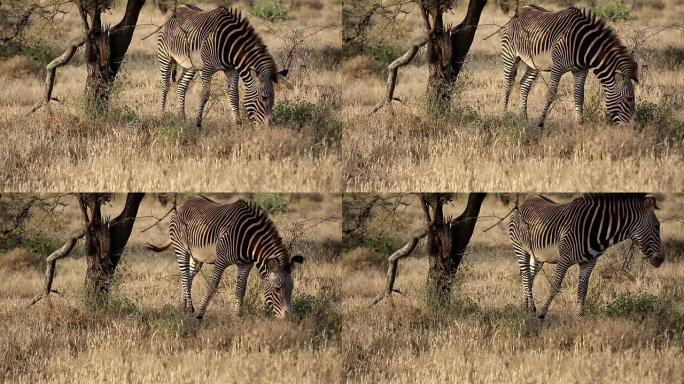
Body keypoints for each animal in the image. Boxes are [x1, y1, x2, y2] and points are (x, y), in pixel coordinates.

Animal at [147, 196, 304, 320]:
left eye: (292, 289)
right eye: (277, 289)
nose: (287, 318)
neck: (249, 240)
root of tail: (182, 203)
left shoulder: (245, 264)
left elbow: (241, 289)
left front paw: (237, 317)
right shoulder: (221, 260)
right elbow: (212, 286)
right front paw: (200, 315)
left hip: (196, 257)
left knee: (188, 278)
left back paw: (184, 307)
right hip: (181, 249)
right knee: (185, 277)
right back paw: (190, 310)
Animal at [157, 4, 288, 127]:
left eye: (273, 98)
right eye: (264, 98)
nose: (269, 127)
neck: (230, 47)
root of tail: (177, 7)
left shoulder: (232, 70)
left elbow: (234, 95)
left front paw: (237, 123)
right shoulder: (207, 68)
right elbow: (204, 95)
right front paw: (198, 123)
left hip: (190, 64)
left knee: (181, 85)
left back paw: (182, 119)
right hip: (165, 57)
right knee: (165, 86)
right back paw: (162, 115)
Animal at [500, 4, 640, 127]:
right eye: (629, 99)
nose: (632, 128)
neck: (583, 46)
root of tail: (520, 10)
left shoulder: (581, 70)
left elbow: (579, 96)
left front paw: (580, 124)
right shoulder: (557, 67)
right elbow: (550, 94)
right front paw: (540, 123)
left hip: (534, 63)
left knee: (524, 84)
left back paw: (524, 118)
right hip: (510, 56)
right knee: (507, 84)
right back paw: (504, 114)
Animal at [510, 194, 664, 320]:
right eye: (657, 226)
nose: (661, 259)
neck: (596, 231)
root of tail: (525, 201)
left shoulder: (589, 262)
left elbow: (583, 290)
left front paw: (579, 318)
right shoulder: (564, 259)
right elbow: (555, 287)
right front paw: (542, 316)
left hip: (537, 256)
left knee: (529, 277)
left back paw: (527, 308)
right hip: (520, 249)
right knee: (526, 276)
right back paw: (530, 309)